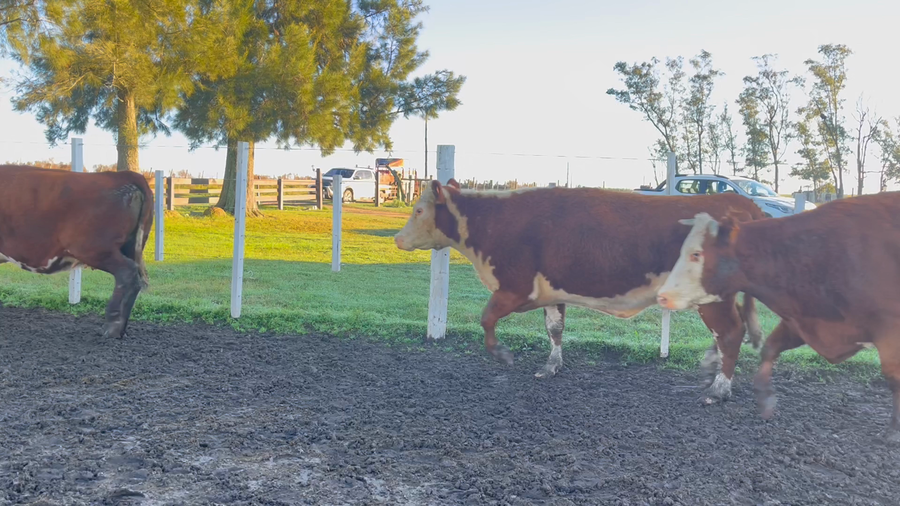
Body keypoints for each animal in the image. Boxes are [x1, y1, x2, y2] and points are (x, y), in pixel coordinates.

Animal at [394, 179, 766, 404]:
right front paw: (551, 366)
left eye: (419, 209)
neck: (492, 221)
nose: (397, 238)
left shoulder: (514, 288)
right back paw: (712, 368)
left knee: (730, 333)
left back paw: (719, 389)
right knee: (730, 332)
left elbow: (486, 318)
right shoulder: (550, 291)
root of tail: (736, 199)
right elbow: (554, 328)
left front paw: (501, 354)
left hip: (713, 299)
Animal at [655, 192, 900, 440]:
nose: (662, 296)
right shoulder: (802, 319)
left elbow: (894, 378)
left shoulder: (890, 333)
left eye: (696, 254)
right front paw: (764, 398)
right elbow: (770, 348)